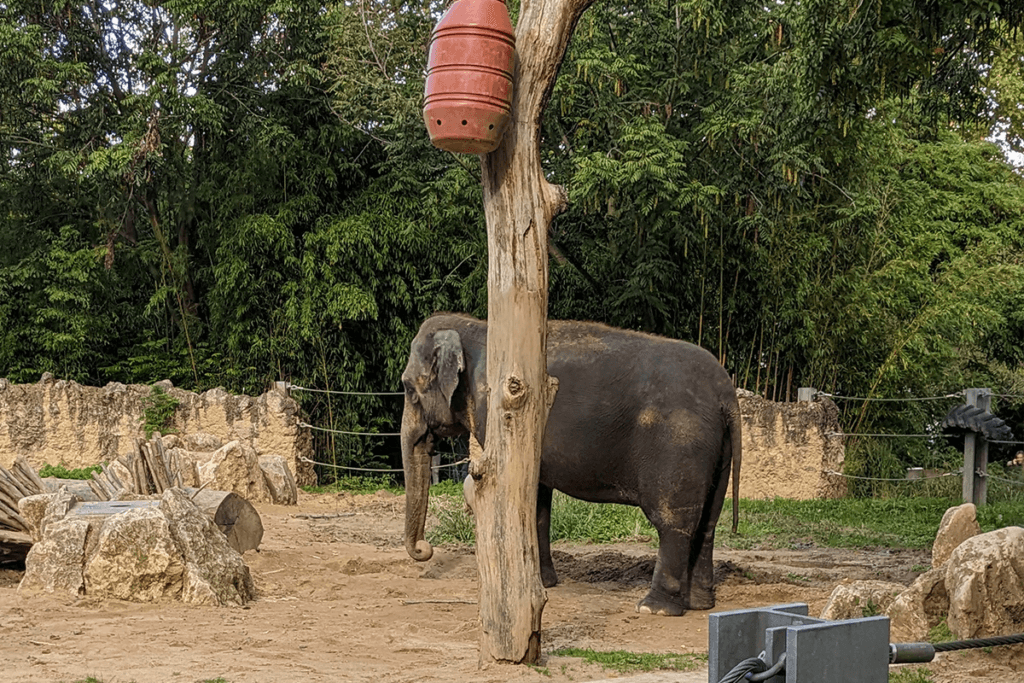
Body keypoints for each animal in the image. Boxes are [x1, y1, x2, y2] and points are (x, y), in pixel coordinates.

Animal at [395, 313, 741, 618]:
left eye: (409, 388)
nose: (424, 549)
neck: (472, 325)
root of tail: (727, 394)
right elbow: (536, 499)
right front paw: (544, 583)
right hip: (717, 449)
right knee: (707, 522)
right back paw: (700, 604)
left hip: (679, 442)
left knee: (674, 522)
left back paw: (653, 609)